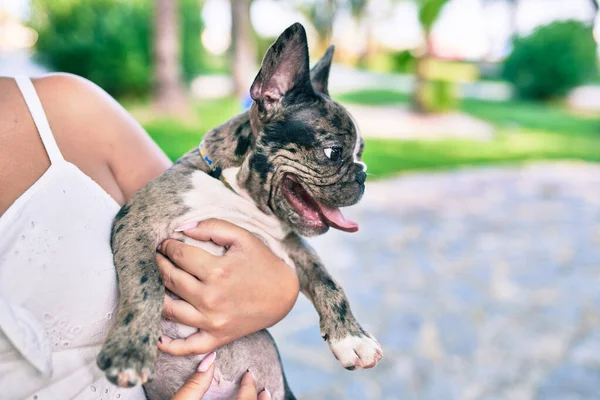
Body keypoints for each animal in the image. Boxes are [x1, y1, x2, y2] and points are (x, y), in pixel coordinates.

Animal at [96, 22, 382, 400]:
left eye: (360, 153)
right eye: (333, 152)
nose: (362, 174)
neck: (238, 195)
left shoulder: (292, 247)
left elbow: (328, 281)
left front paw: (351, 337)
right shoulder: (139, 222)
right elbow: (146, 284)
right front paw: (130, 351)